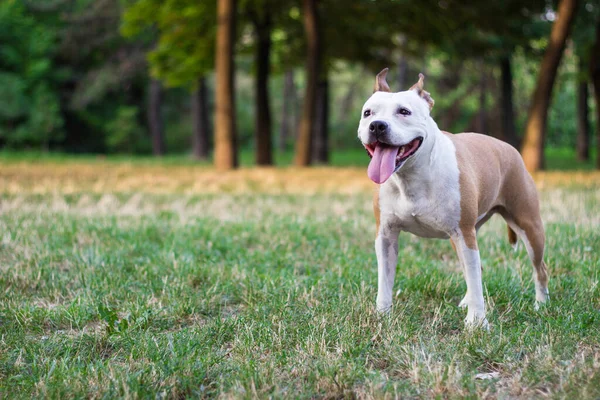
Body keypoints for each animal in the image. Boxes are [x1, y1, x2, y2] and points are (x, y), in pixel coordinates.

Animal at [358, 69, 552, 328]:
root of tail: (508, 148)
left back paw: (541, 304)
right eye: (368, 113)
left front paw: (477, 323)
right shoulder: (386, 235)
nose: (377, 126)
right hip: (463, 237)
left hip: (528, 226)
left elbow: (476, 280)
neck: (412, 175)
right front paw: (382, 314)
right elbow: (385, 280)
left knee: (539, 269)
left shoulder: (464, 234)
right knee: (475, 270)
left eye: (404, 111)